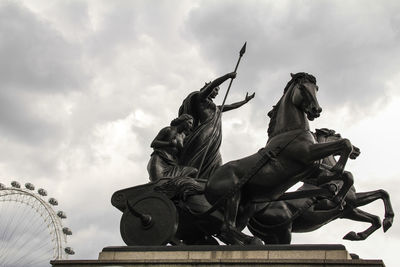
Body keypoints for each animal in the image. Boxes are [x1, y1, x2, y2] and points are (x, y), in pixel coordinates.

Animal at [205, 73, 354, 245]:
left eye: (316, 88)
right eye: (302, 87)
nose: (316, 110)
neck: (290, 131)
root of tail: (207, 183)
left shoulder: (311, 169)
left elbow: (348, 174)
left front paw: (337, 196)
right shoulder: (308, 153)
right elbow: (345, 143)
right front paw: (336, 171)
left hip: (247, 206)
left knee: (228, 231)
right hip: (233, 196)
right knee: (227, 228)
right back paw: (254, 241)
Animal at [247, 128, 394, 245]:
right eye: (338, 135)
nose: (357, 150)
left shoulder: (350, 208)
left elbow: (380, 202)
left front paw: (356, 234)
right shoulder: (345, 204)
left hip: (272, 236)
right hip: (283, 233)